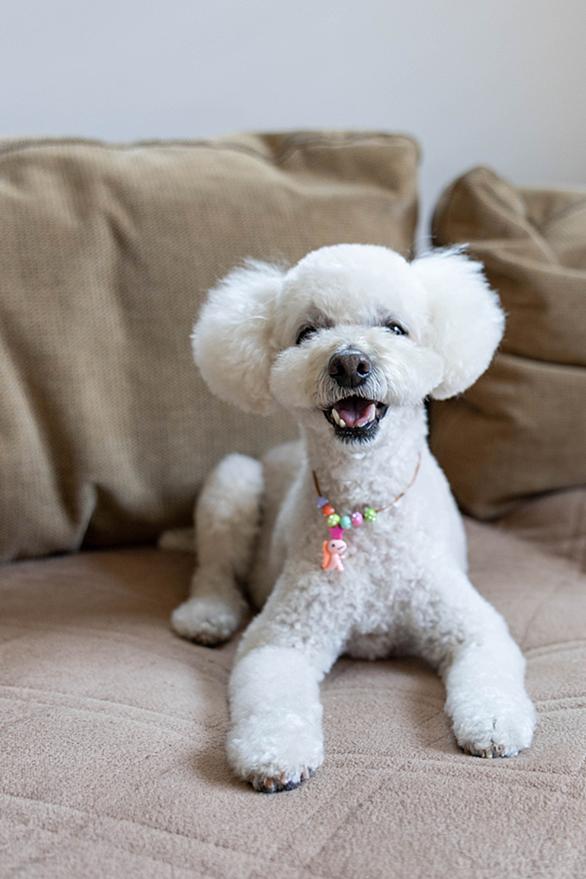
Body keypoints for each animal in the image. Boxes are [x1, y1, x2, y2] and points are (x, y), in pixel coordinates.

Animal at [168, 243, 536, 792]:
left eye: (395, 327)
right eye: (307, 333)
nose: (349, 363)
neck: (368, 509)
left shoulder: (470, 624)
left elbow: (490, 671)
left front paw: (494, 722)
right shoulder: (283, 638)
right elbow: (272, 695)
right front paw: (273, 752)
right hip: (232, 483)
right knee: (214, 568)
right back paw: (207, 615)